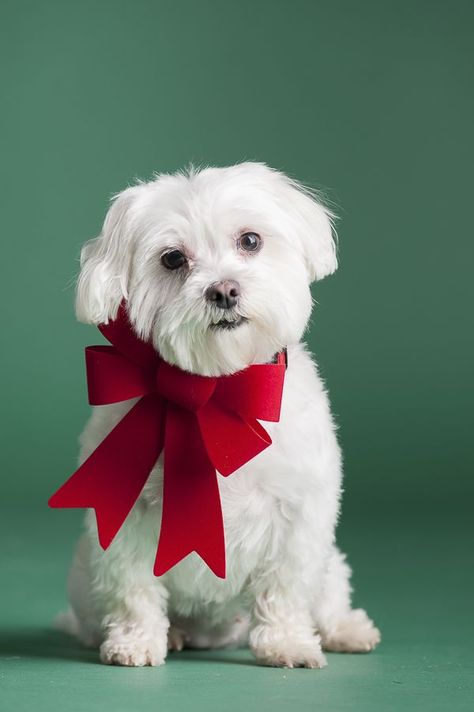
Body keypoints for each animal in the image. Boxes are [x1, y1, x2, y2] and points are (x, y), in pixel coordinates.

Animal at [57, 161, 380, 668]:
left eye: (250, 240)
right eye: (172, 259)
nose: (224, 290)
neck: (214, 390)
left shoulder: (300, 514)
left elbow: (286, 585)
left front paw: (286, 641)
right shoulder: (123, 515)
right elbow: (133, 588)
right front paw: (136, 640)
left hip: (330, 563)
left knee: (328, 594)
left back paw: (344, 629)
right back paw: (171, 633)